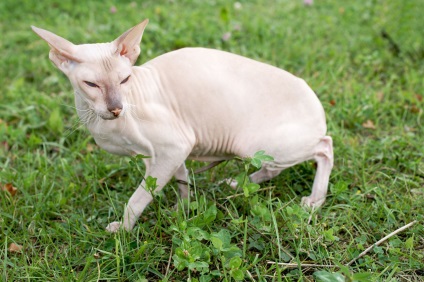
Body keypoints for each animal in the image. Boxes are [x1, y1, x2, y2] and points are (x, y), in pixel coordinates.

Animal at [31, 19, 332, 231]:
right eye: (91, 84)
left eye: (125, 80)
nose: (116, 108)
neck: (102, 123)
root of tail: (318, 105)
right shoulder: (165, 154)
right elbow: (181, 179)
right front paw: (182, 212)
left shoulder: (175, 146)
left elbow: (139, 198)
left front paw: (123, 231)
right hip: (260, 150)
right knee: (273, 166)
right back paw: (237, 183)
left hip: (251, 144)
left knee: (324, 147)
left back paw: (314, 201)